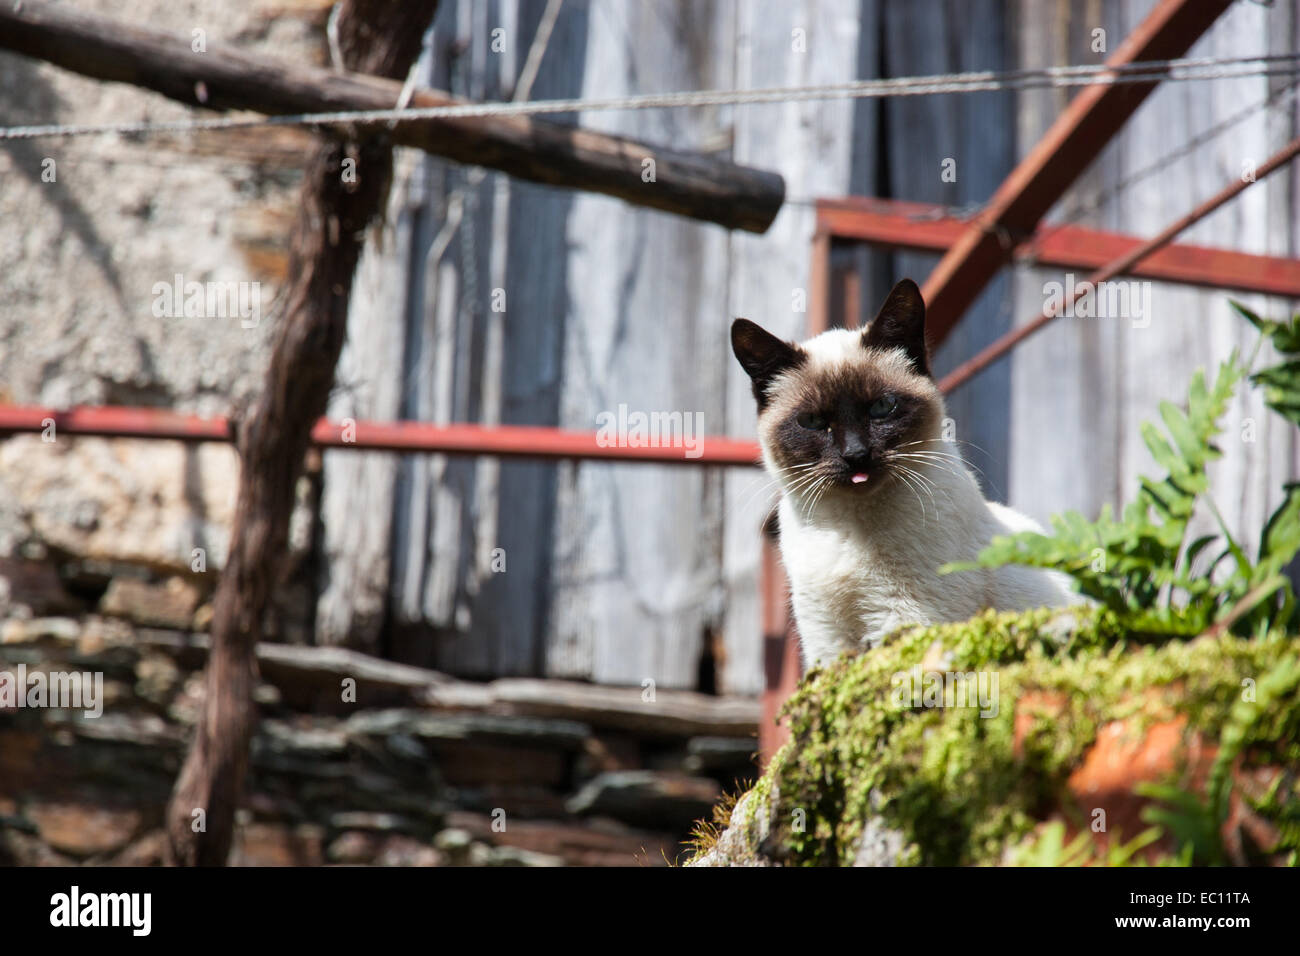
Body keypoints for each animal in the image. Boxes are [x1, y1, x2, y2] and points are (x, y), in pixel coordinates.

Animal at [733, 277, 1076, 671]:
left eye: (882, 407)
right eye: (814, 421)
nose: (856, 455)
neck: (848, 529)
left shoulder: (904, 618)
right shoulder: (827, 641)